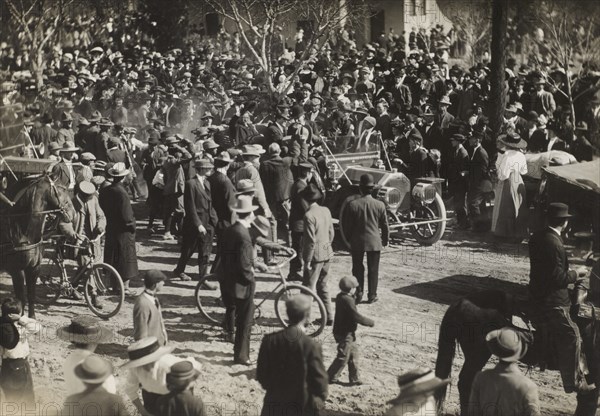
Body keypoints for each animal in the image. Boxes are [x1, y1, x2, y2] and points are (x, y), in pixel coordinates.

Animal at [0, 175, 72, 318]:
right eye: (63, 189)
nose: (72, 213)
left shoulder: (34, 269)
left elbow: (31, 296)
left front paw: (32, 318)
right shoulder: (17, 271)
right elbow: (21, 298)